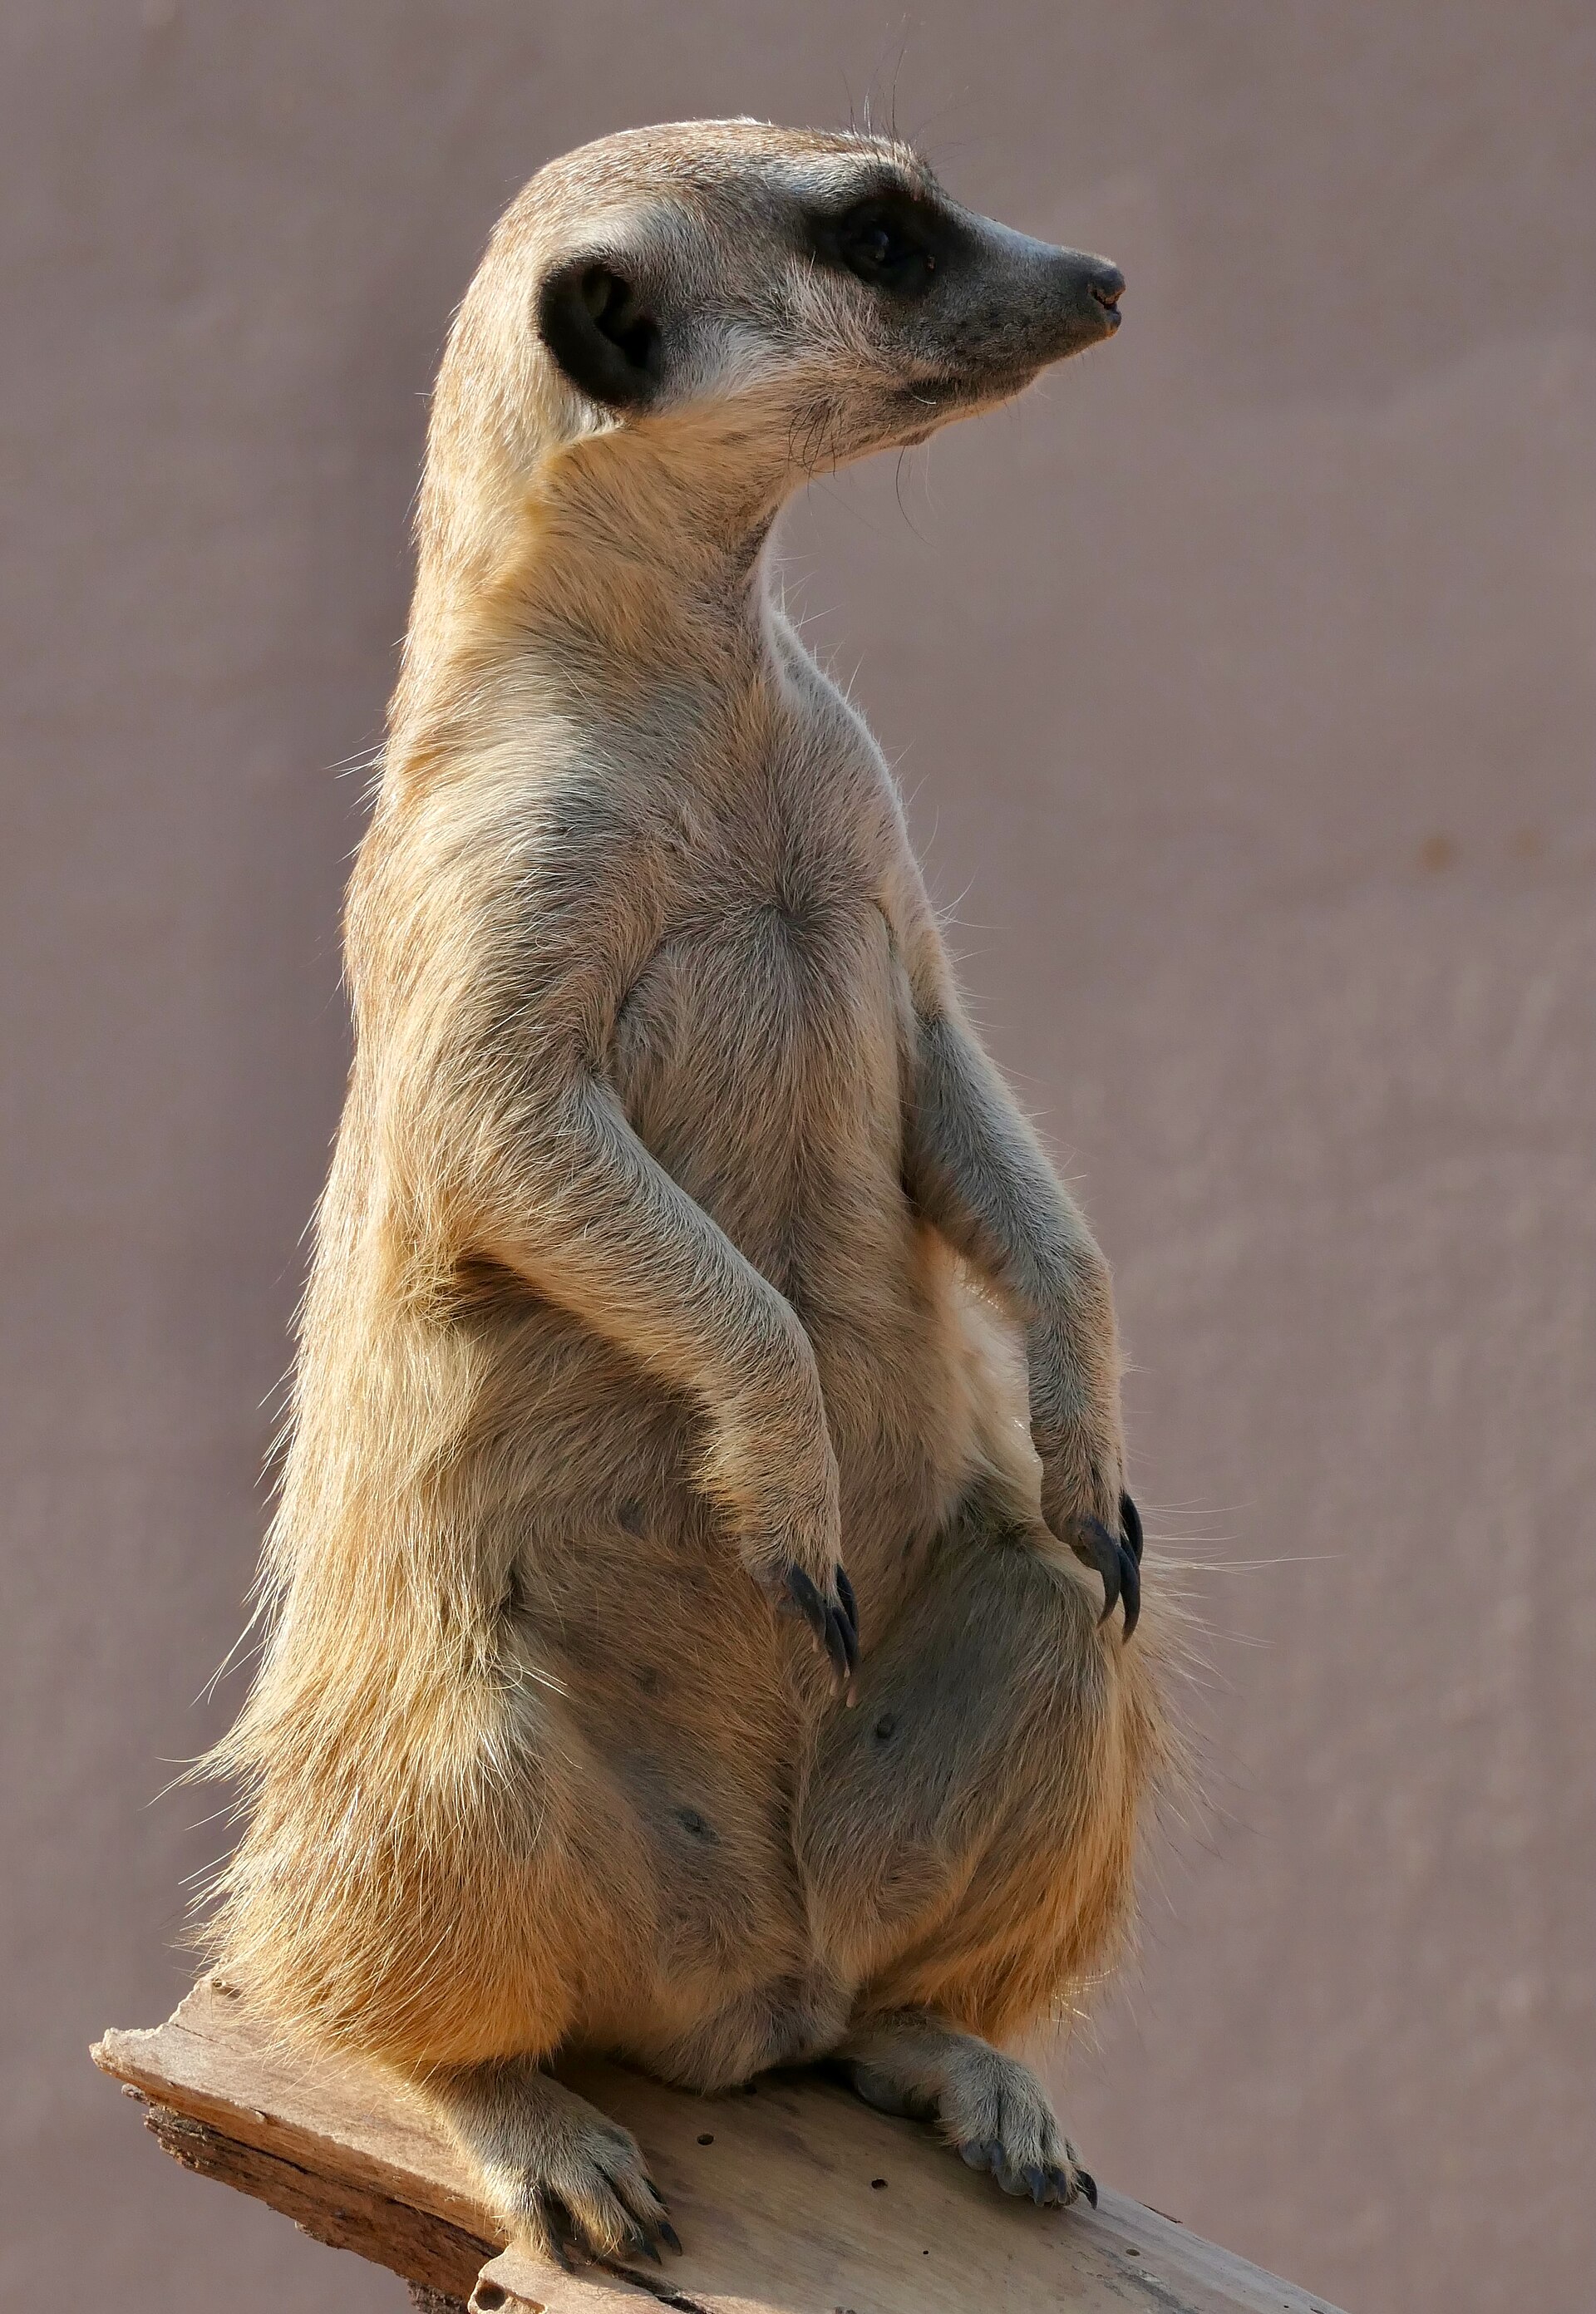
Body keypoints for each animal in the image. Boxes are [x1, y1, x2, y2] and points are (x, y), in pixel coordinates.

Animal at [203, 119, 1170, 2275]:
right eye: (880, 233)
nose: (1105, 279)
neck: (702, 691)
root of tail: (737, 1994)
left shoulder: (870, 836)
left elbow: (948, 1070)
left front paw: (1082, 1410)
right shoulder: (493, 867)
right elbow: (496, 1118)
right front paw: (782, 1455)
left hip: (933, 1771)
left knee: (1062, 1615)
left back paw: (952, 2050)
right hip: (448, 1750)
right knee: (388, 1918)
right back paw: (511, 2108)